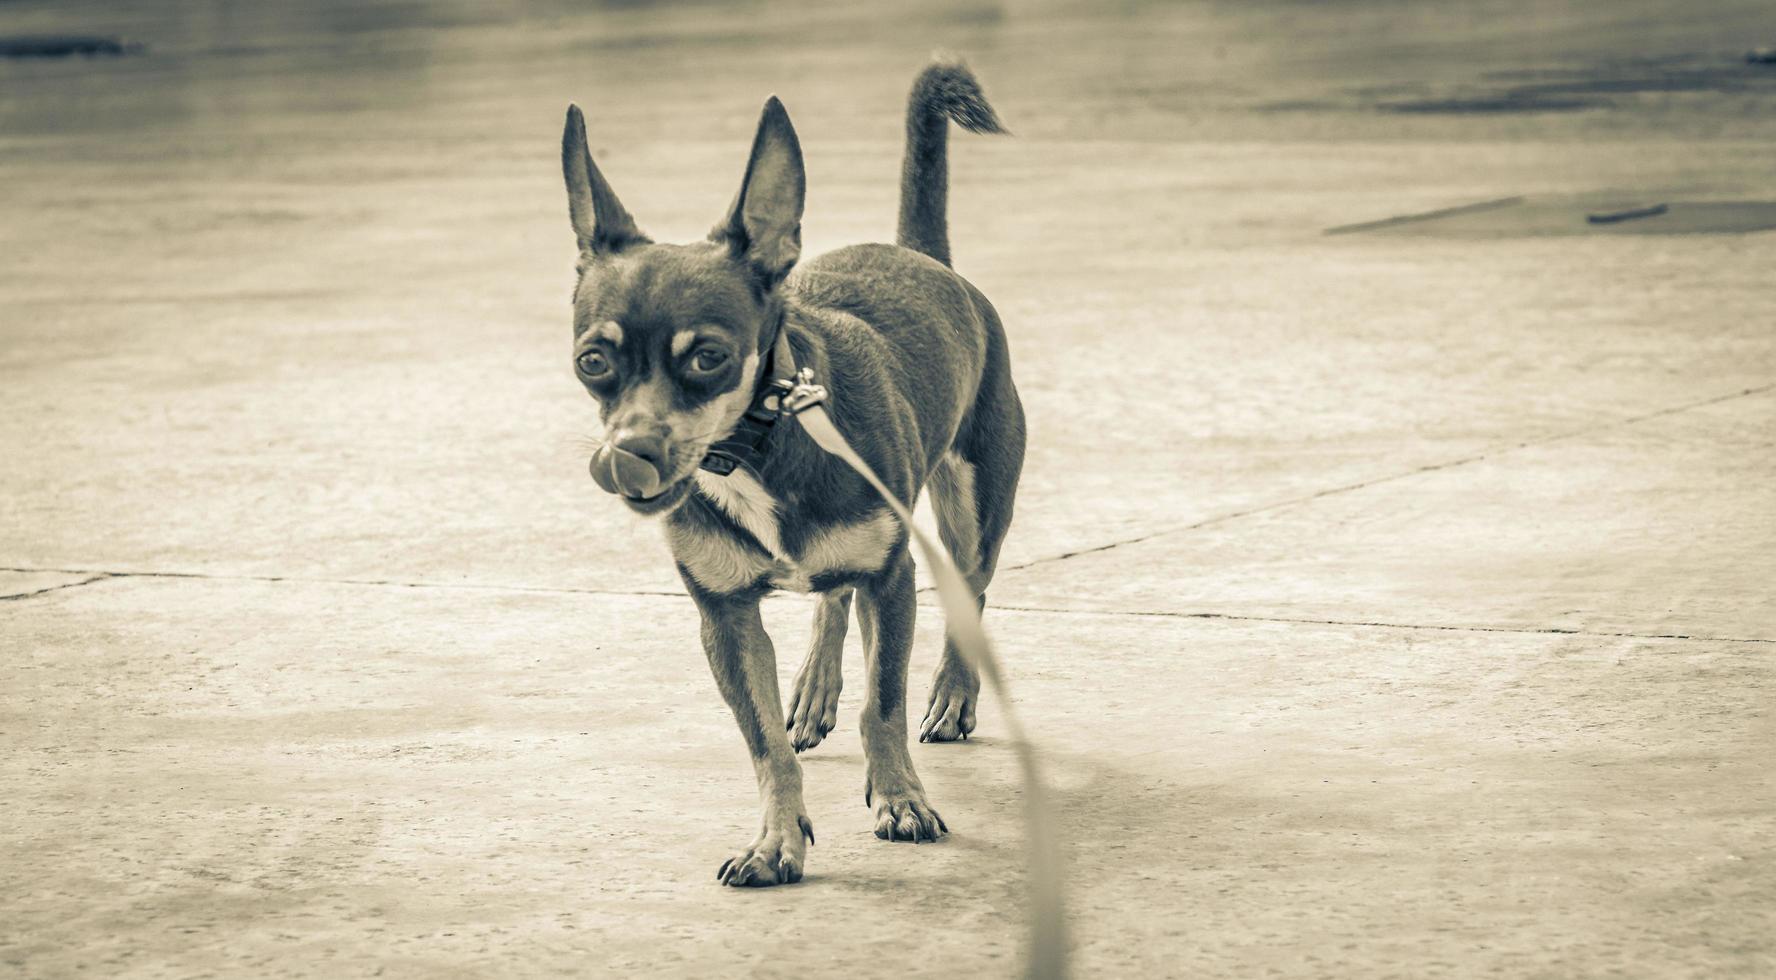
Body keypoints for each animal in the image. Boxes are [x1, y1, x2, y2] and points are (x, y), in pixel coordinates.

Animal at [561, 61, 1022, 887]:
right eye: (592, 361)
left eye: (709, 357)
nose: (630, 453)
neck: (758, 445)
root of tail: (926, 259)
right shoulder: (724, 618)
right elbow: (765, 743)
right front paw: (775, 840)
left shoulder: (894, 578)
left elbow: (883, 706)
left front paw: (902, 802)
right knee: (830, 600)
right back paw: (812, 689)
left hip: (975, 513)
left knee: (967, 596)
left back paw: (951, 696)